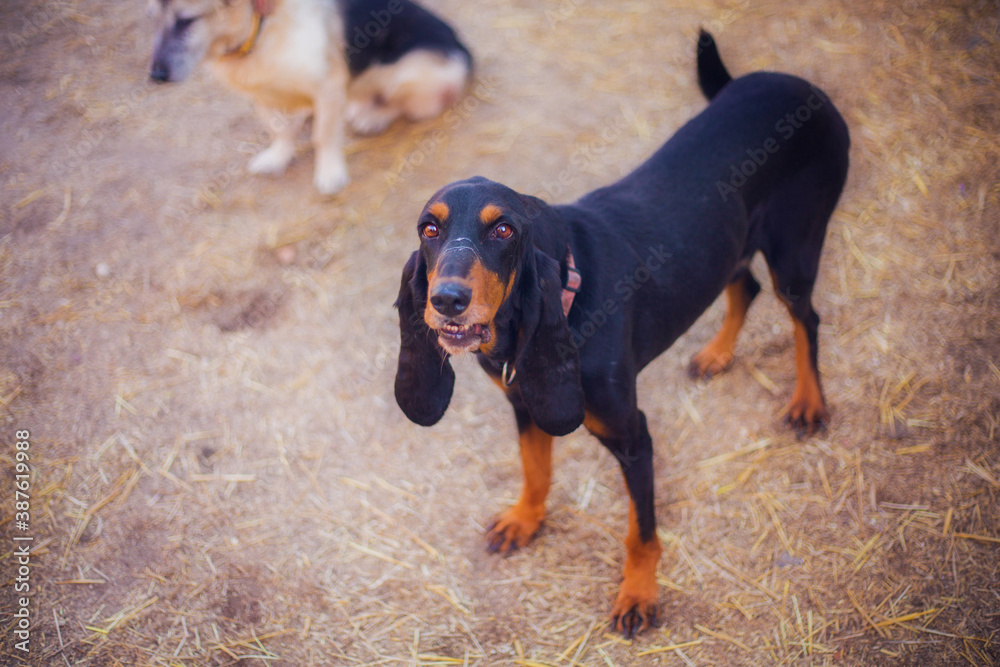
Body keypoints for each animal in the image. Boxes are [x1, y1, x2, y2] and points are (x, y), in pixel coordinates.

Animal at [394, 31, 848, 636]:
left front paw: (637, 594)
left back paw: (808, 401)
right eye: (430, 228)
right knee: (743, 285)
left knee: (806, 319)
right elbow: (535, 472)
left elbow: (641, 531)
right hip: (728, 241)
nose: (445, 301)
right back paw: (717, 354)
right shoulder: (526, 406)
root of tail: (796, 84)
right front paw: (524, 520)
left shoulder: (634, 435)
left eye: (504, 229)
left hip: (794, 251)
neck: (567, 292)